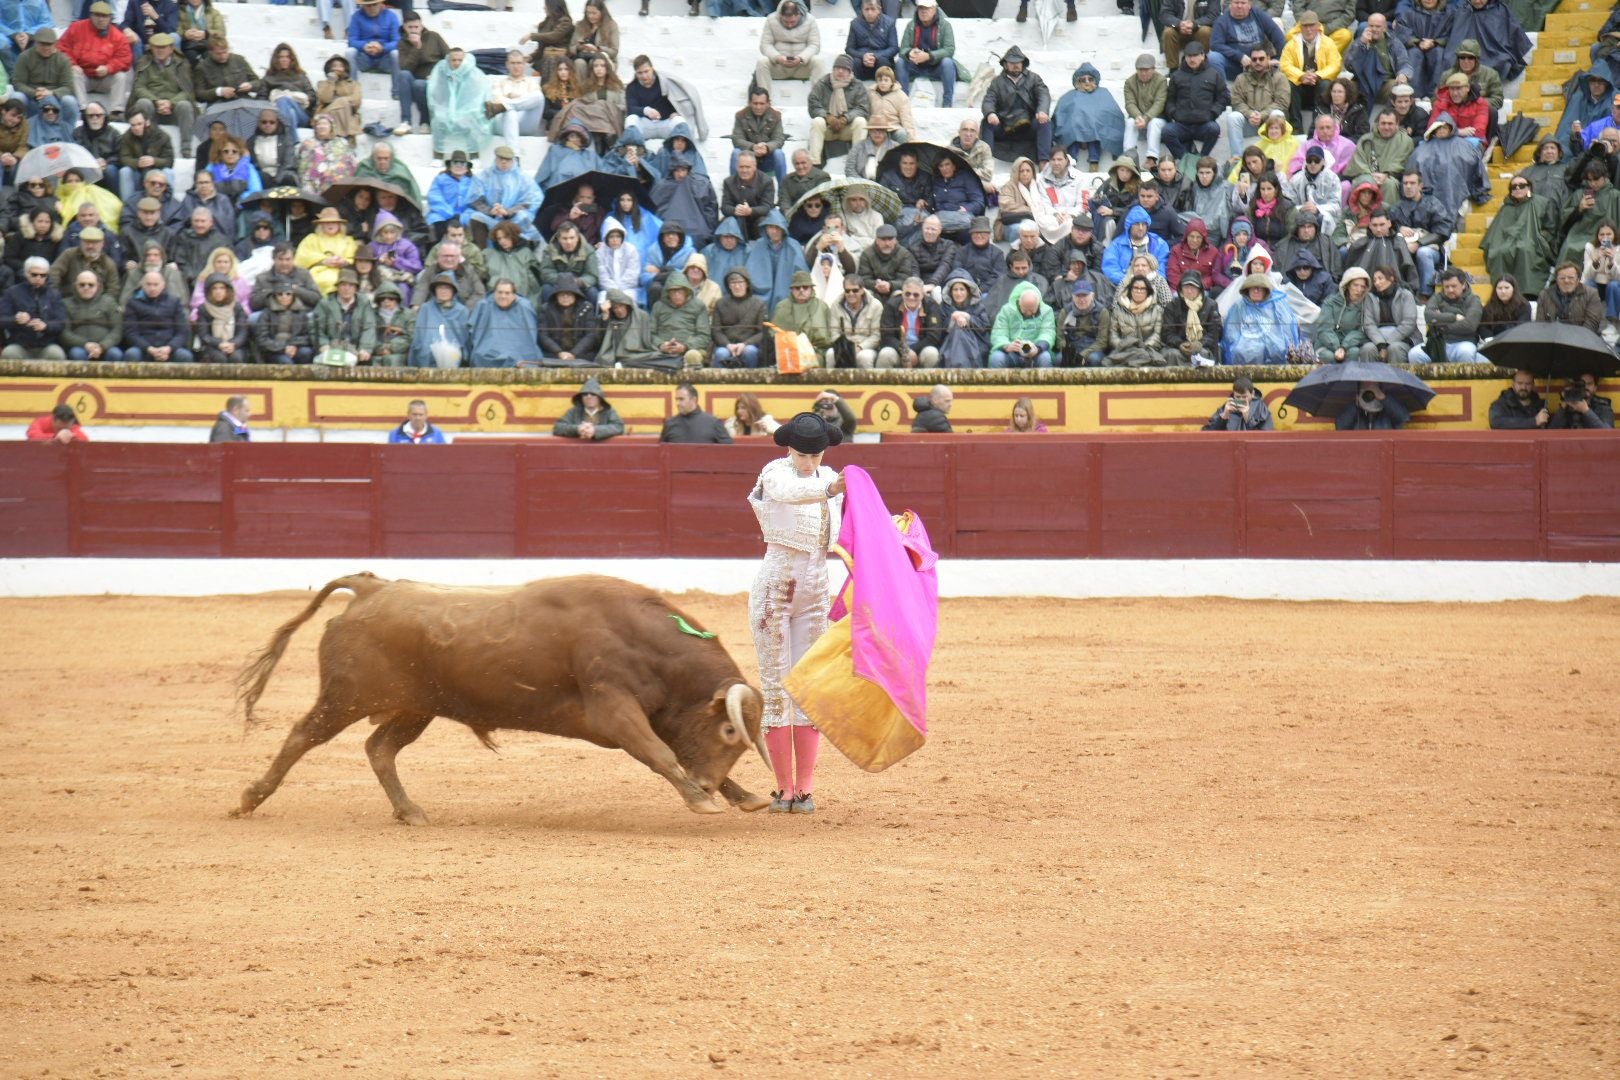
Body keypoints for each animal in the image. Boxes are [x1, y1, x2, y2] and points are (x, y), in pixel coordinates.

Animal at [231, 579, 774, 822]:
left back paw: (410, 811)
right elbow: (661, 754)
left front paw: (739, 795)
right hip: (345, 698)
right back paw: (250, 798)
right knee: (303, 735)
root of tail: (371, 587)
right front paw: (700, 800)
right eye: (729, 730)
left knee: (380, 749)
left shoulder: (654, 715)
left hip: (416, 708)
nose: (706, 783)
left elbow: (674, 752)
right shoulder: (614, 708)